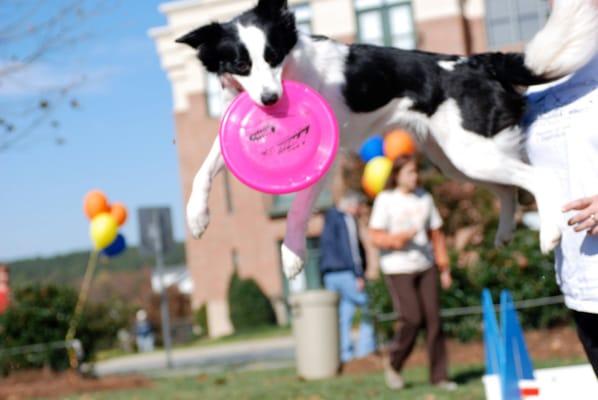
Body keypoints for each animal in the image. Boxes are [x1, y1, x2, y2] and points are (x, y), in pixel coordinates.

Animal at [176, 0, 598, 280]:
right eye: (240, 64)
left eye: (274, 55)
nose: (270, 100)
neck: (294, 69)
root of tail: (475, 62)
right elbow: (203, 170)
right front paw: (196, 217)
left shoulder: (325, 156)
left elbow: (297, 210)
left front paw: (292, 256)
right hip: (454, 160)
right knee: (509, 189)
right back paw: (506, 233)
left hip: (472, 153)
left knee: (540, 178)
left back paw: (548, 234)